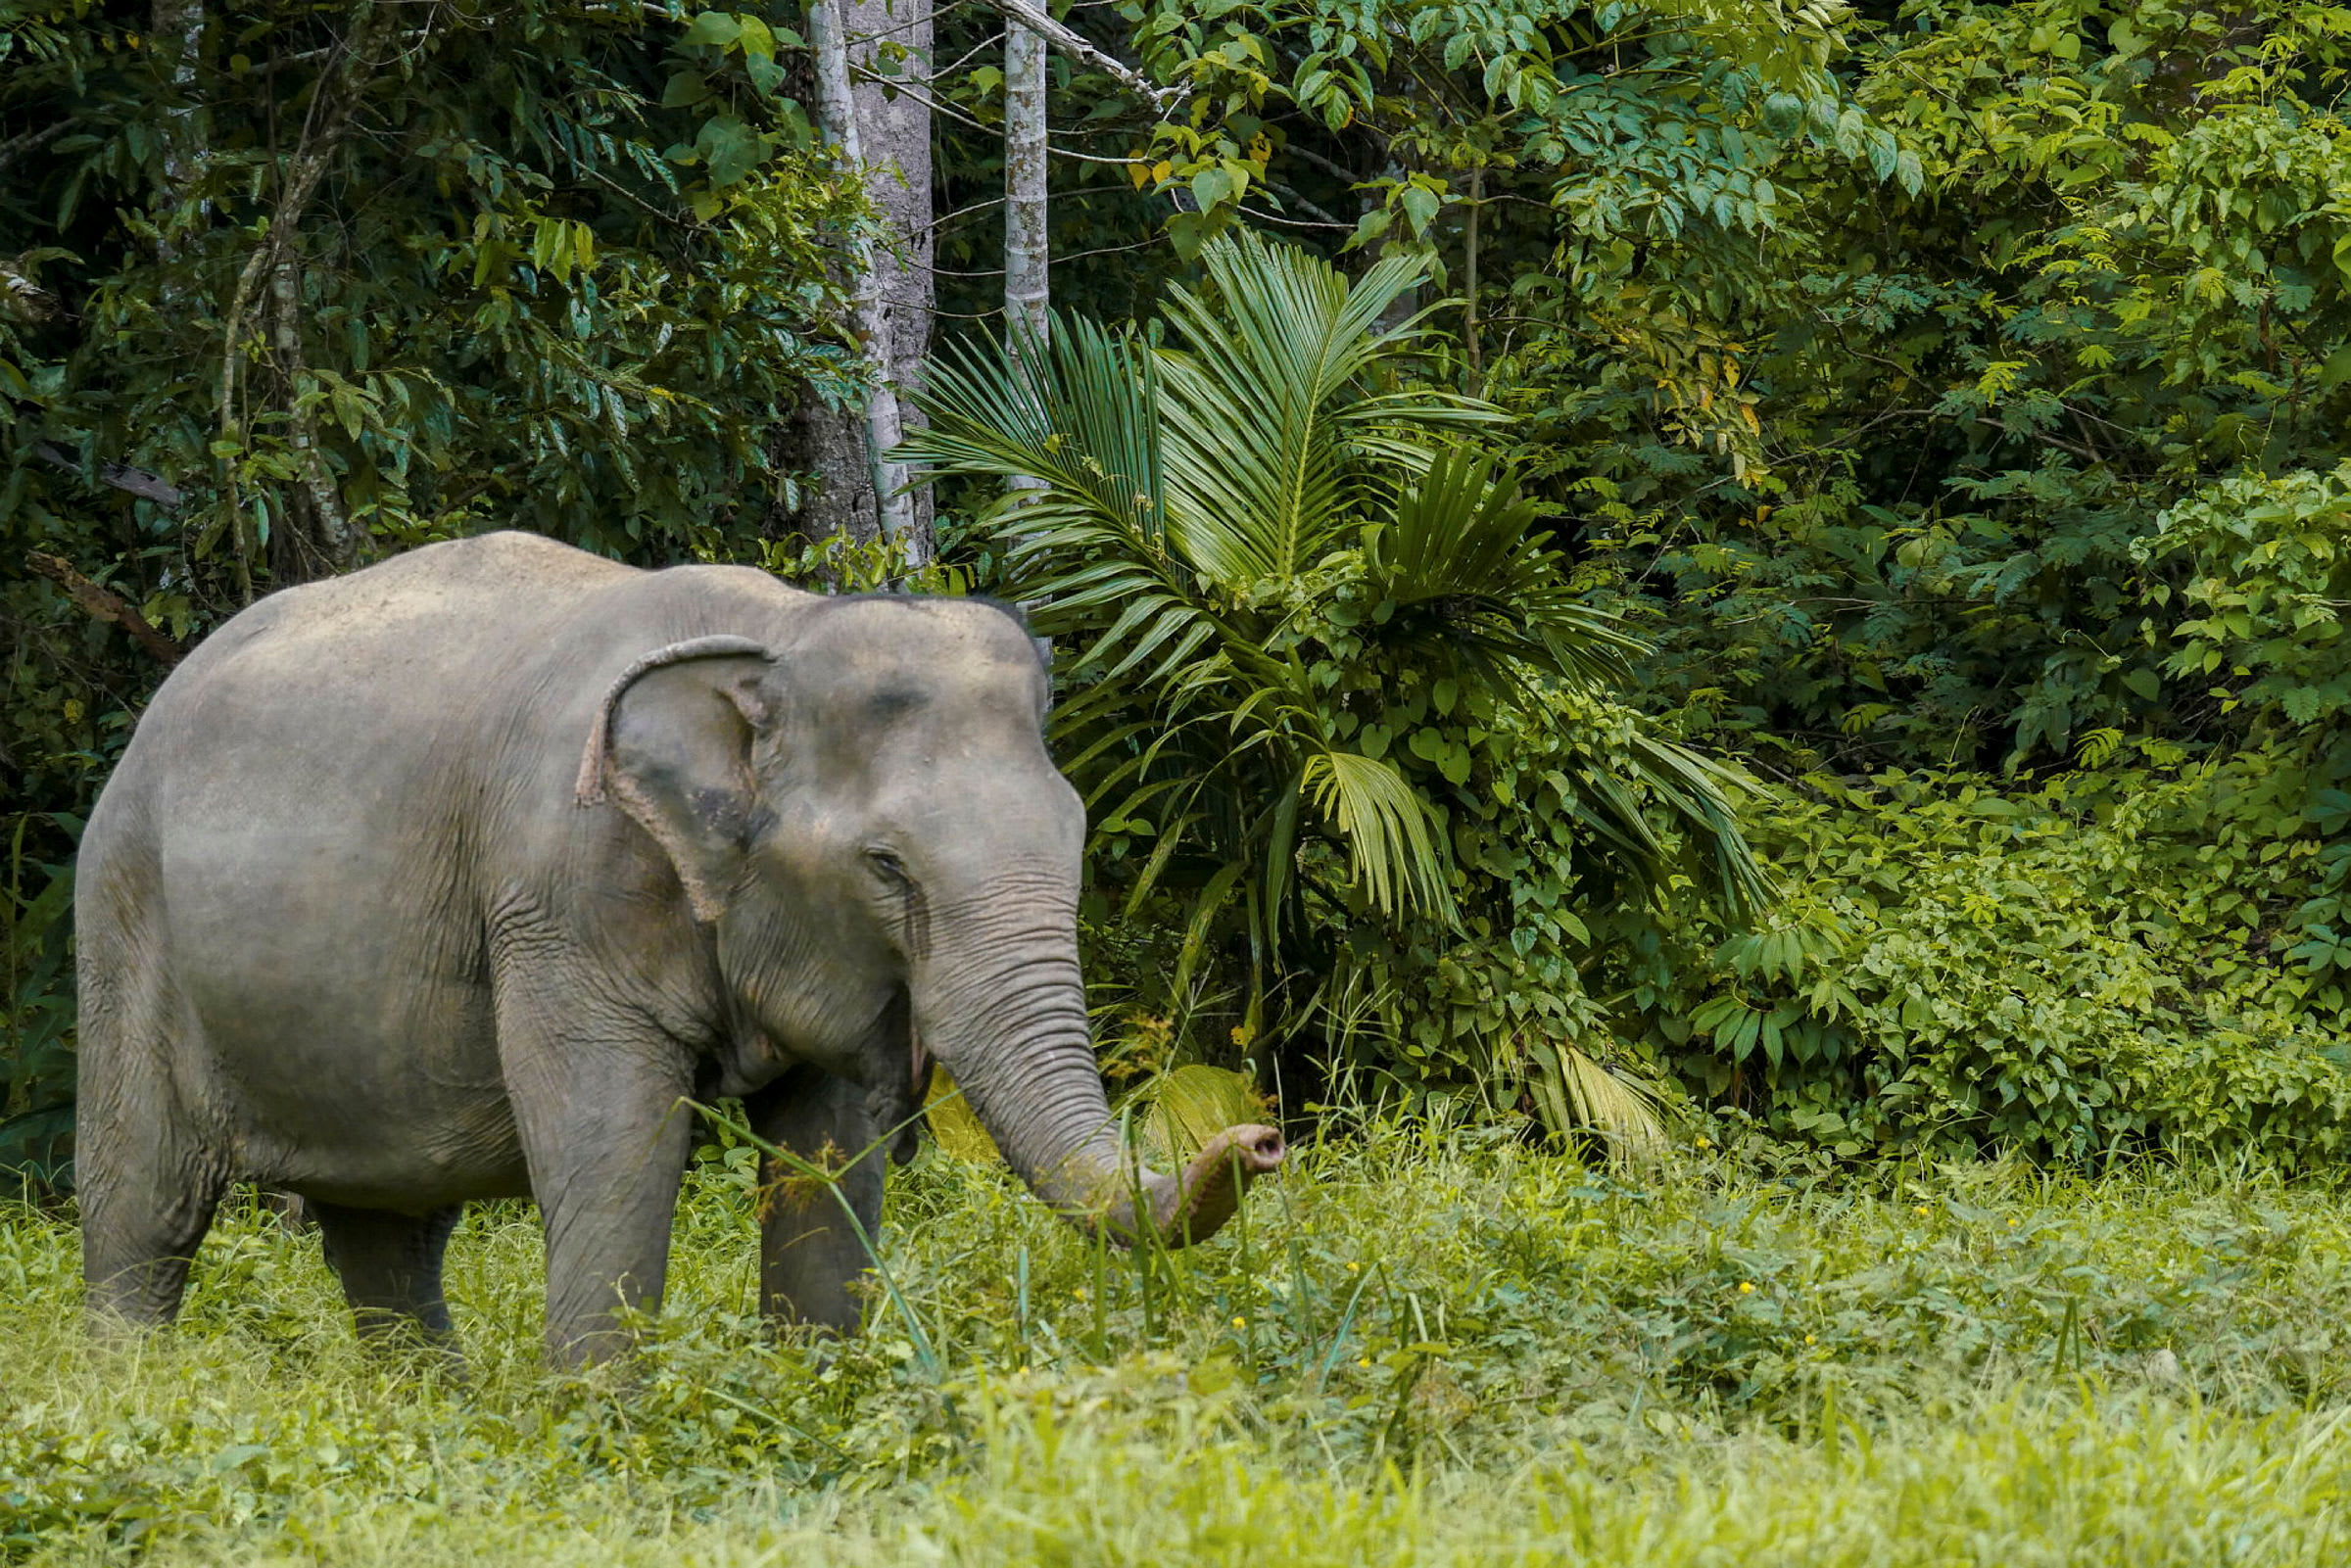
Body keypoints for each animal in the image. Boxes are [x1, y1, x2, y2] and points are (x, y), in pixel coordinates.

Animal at [74, 530, 1283, 1363]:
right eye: (886, 866)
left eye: (1075, 833)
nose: (1262, 1136)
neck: (778, 635)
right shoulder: (561, 890)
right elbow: (612, 1143)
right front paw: (598, 1431)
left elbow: (826, 1154)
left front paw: (820, 1389)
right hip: (122, 919)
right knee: (146, 1204)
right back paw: (135, 1396)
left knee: (389, 1227)